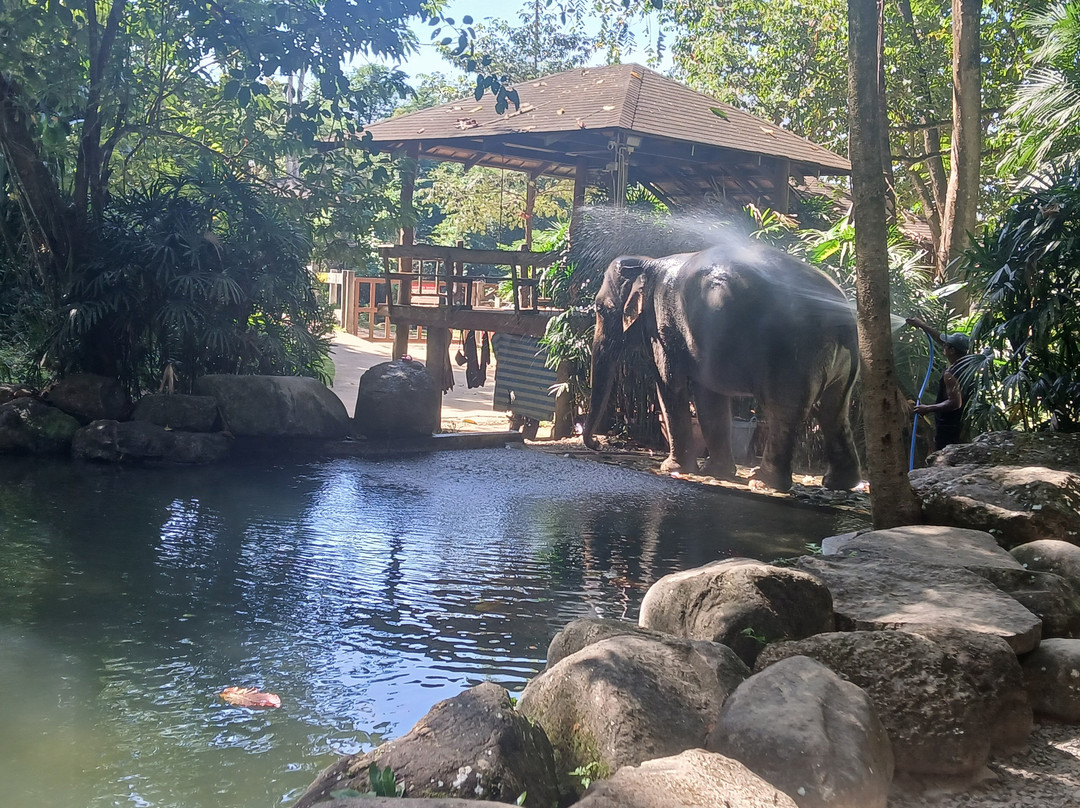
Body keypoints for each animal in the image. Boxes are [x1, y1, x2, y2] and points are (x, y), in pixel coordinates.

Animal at [581, 243, 861, 491]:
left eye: (600, 308)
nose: (599, 444)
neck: (648, 263)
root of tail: (843, 318)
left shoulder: (662, 322)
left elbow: (670, 383)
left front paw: (672, 468)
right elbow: (708, 395)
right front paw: (716, 472)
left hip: (793, 352)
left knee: (785, 410)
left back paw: (764, 482)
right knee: (834, 410)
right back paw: (838, 484)